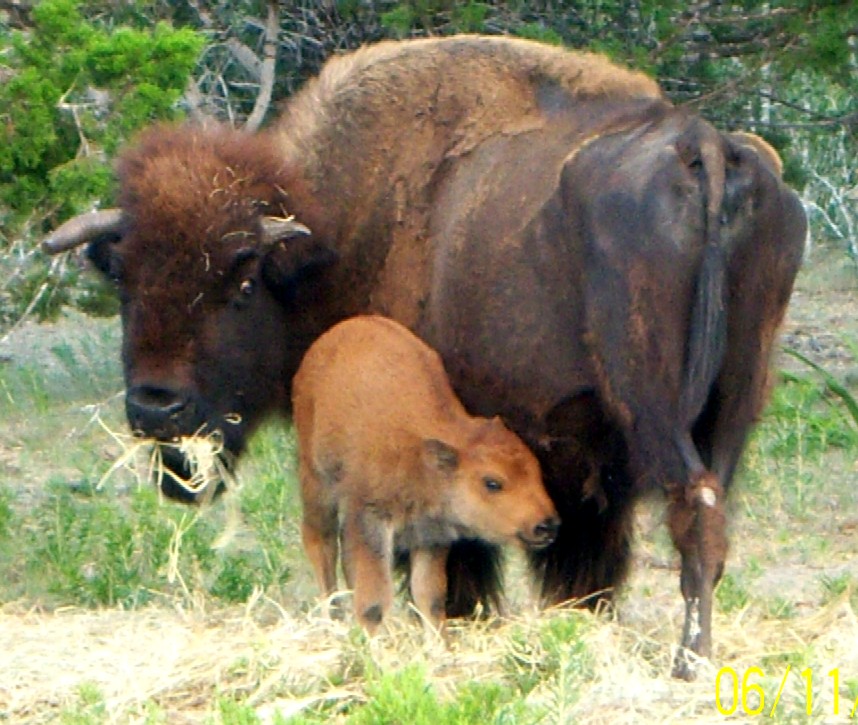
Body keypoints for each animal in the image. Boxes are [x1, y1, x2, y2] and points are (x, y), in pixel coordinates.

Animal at [290, 314, 560, 632]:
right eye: (492, 483)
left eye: (537, 473)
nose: (546, 525)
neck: (424, 457)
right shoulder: (371, 520)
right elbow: (373, 602)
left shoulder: (431, 535)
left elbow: (429, 597)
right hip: (316, 483)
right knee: (321, 544)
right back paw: (331, 616)